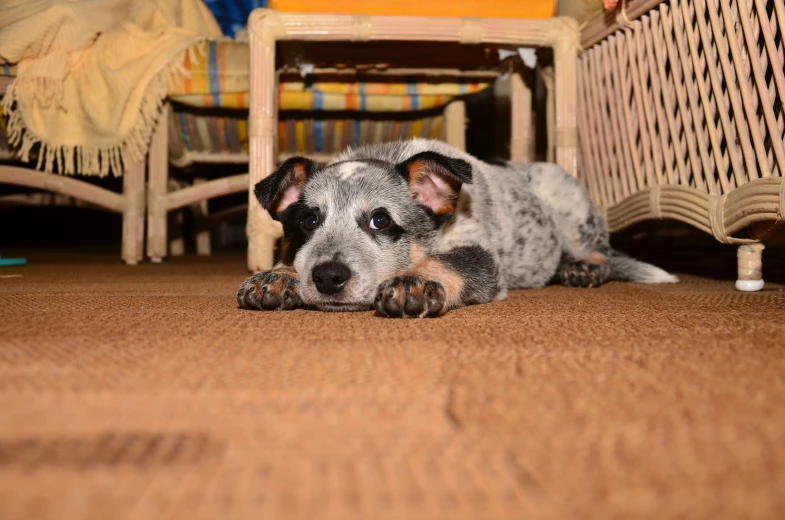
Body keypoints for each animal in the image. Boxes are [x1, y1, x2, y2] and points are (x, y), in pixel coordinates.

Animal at [234, 138, 672, 316]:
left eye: (380, 220)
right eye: (309, 220)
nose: (328, 276)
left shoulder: (481, 256)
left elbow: (448, 263)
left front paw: (416, 282)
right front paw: (278, 275)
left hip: (571, 206)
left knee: (601, 251)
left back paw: (583, 268)